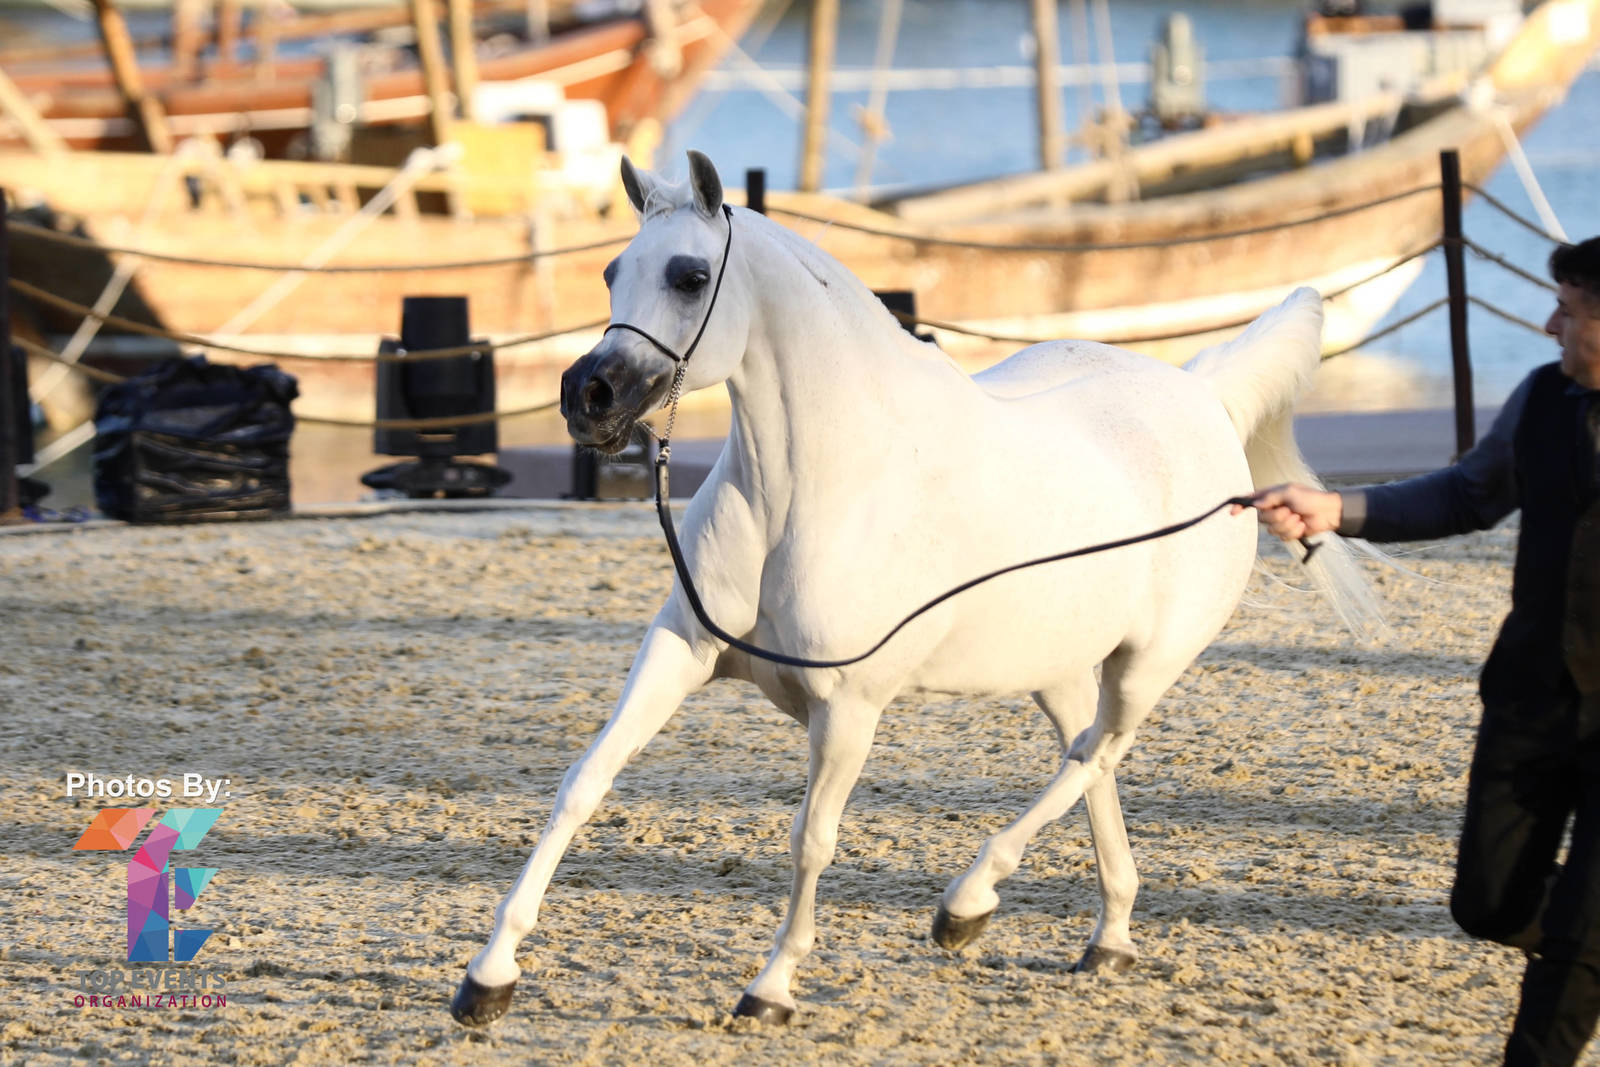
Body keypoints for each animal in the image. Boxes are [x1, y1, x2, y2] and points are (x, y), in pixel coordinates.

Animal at [451, 150, 1381, 1027]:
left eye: (688, 275)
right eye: (613, 271)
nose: (588, 395)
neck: (819, 483)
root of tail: (1199, 391)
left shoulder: (849, 708)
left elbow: (812, 839)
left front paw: (771, 988)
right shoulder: (680, 653)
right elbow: (584, 783)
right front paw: (488, 978)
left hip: (1148, 664)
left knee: (1099, 753)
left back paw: (967, 904)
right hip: (1059, 668)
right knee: (1088, 757)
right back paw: (1105, 935)